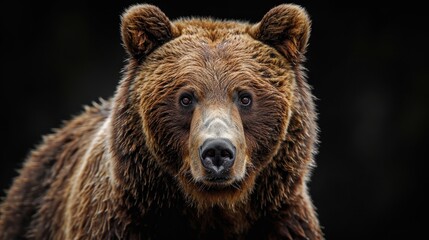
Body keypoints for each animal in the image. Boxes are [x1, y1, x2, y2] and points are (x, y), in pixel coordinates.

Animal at [0, 2, 320, 240]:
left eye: (244, 97)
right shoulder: (120, 221)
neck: (211, 209)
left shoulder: (281, 222)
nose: (218, 151)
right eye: (186, 98)